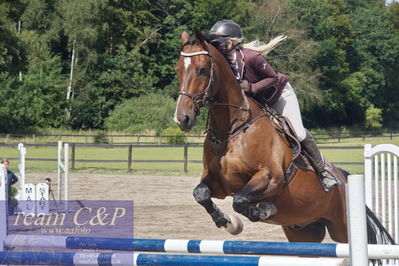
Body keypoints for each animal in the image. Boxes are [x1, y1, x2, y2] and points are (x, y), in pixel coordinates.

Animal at [173, 28, 396, 246]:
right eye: (178, 70)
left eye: (202, 69)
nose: (182, 118)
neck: (232, 130)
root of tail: (343, 177)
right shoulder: (219, 183)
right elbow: (201, 194)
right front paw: (229, 222)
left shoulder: (271, 176)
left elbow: (241, 201)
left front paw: (263, 210)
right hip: (304, 232)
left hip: (343, 227)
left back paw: (326, 178)